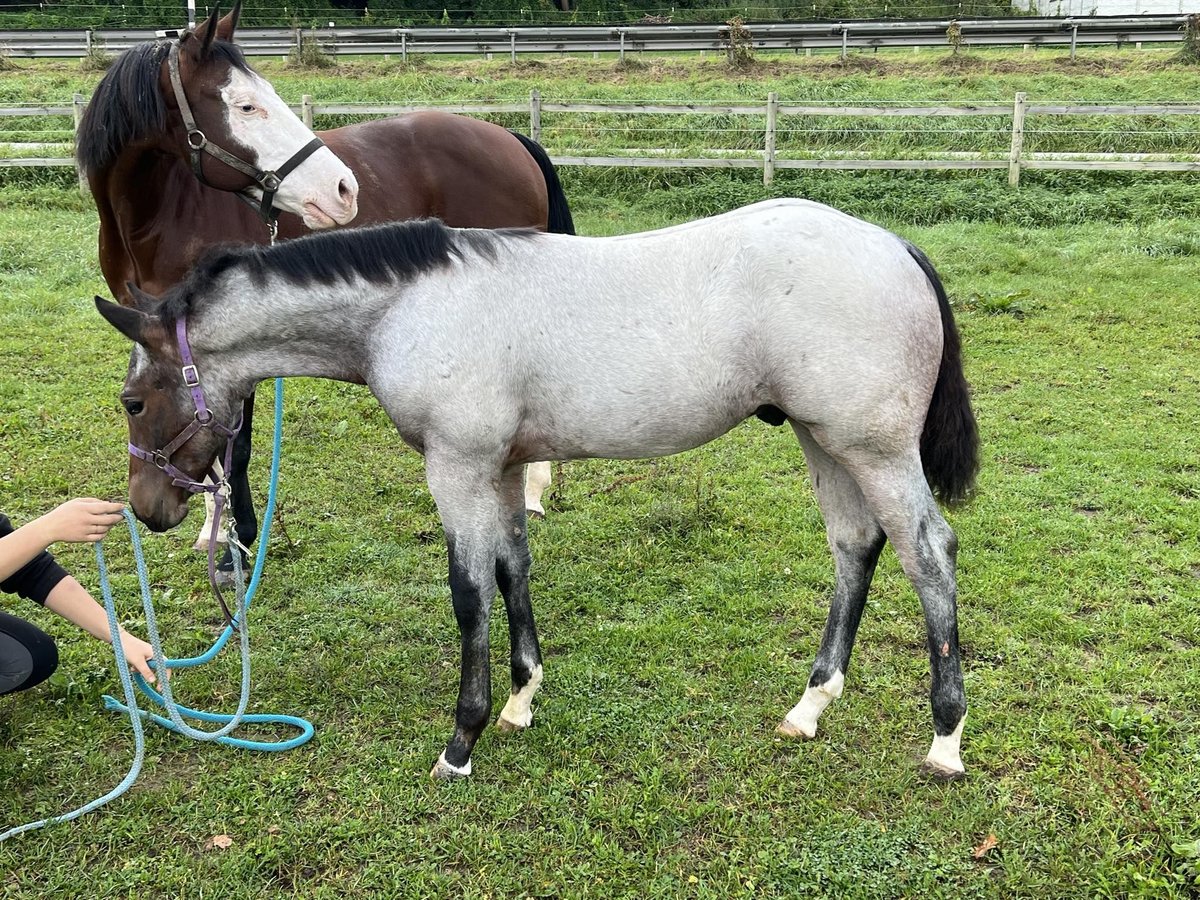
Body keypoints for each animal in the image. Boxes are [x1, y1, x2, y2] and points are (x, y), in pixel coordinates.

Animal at [77, 3, 573, 573]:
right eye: (245, 105)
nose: (343, 189)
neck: (161, 217)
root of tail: (512, 139)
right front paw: (213, 530)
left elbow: (235, 444)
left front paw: (238, 541)